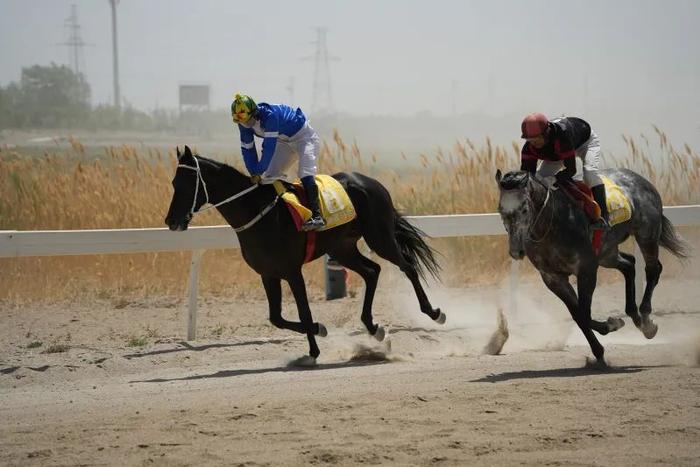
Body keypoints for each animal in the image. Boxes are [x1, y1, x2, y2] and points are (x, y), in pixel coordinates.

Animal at [498, 170, 688, 368]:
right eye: (500, 209)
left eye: (524, 209)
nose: (516, 250)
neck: (553, 223)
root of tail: (639, 178)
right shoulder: (553, 278)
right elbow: (578, 316)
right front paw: (600, 349)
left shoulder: (586, 269)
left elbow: (584, 313)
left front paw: (612, 325)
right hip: (607, 253)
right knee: (629, 264)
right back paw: (634, 315)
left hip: (646, 234)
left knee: (653, 269)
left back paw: (646, 321)